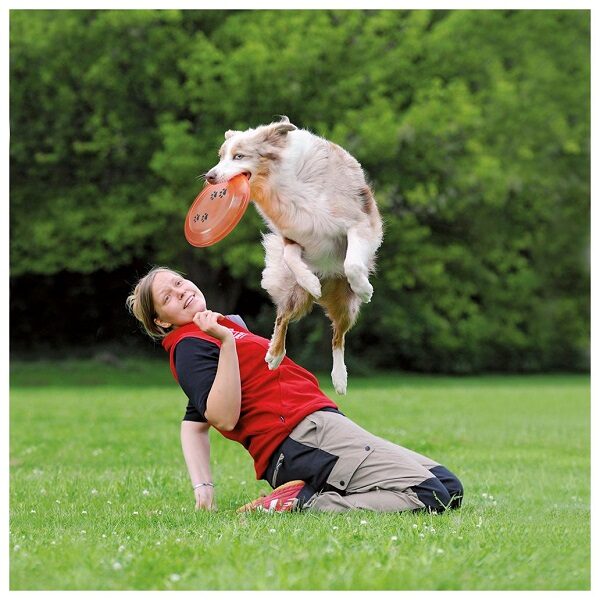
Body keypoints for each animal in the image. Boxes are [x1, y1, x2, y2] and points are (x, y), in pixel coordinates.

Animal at [206, 116, 382, 394]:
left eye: (239, 156)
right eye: (221, 156)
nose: (210, 177)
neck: (283, 182)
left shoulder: (359, 222)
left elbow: (352, 264)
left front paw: (364, 288)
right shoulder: (292, 236)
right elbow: (291, 258)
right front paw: (310, 281)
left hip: (346, 304)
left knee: (338, 336)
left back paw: (339, 378)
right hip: (294, 295)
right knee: (282, 317)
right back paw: (274, 354)